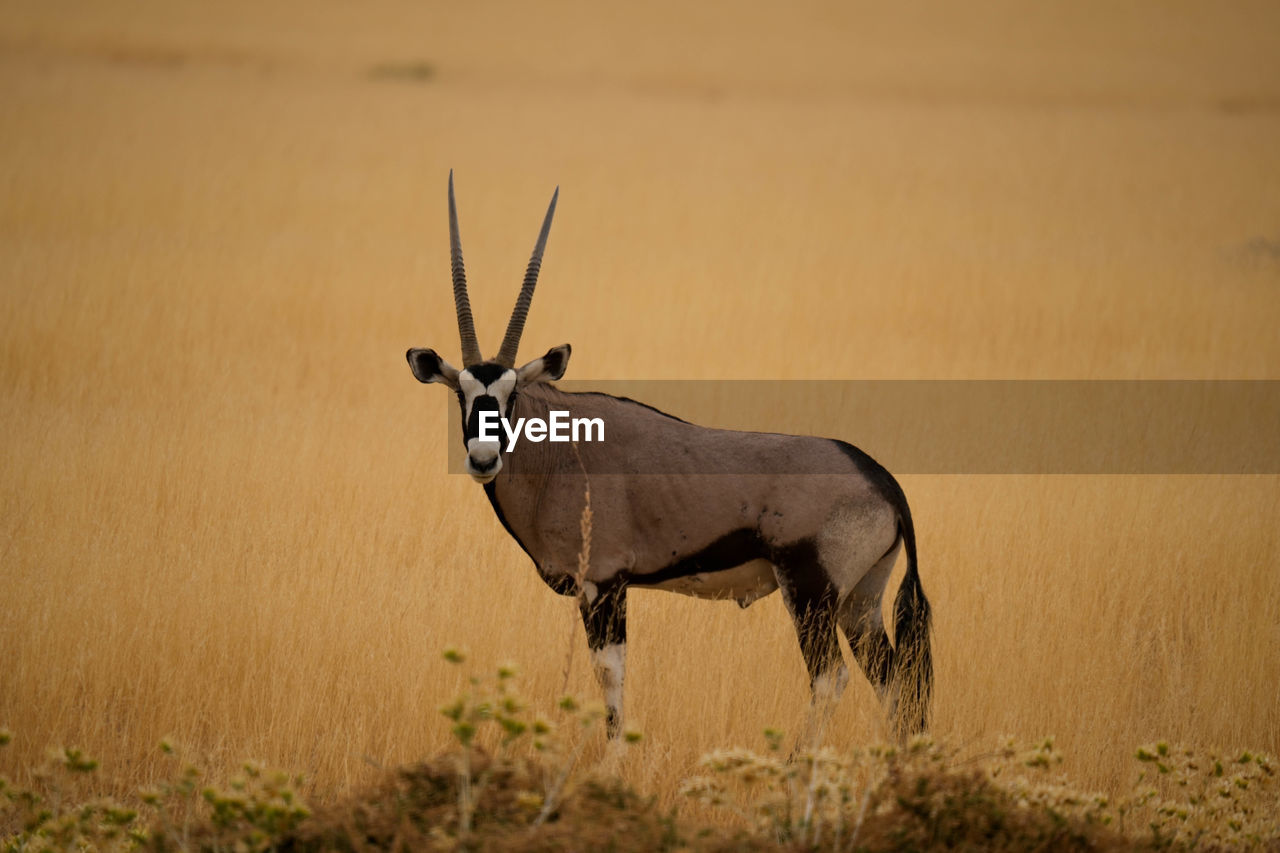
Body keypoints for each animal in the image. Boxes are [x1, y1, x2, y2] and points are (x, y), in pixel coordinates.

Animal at [407, 174, 931, 742]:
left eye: (511, 395)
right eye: (462, 394)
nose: (483, 459)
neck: (559, 451)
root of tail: (881, 481)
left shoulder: (604, 585)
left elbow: (610, 680)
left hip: (812, 594)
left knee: (831, 678)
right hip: (860, 601)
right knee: (893, 681)